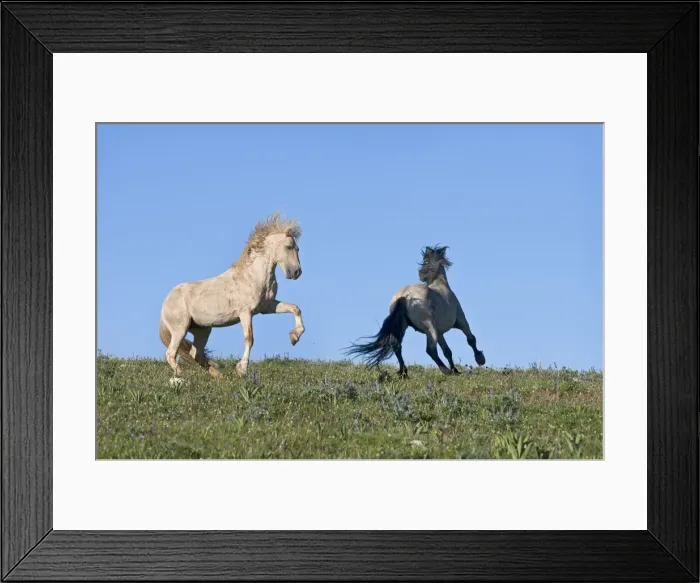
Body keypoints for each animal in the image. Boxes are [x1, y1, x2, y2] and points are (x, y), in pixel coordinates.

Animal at [159, 213, 304, 379]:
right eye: (288, 247)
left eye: (297, 248)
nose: (296, 272)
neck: (252, 276)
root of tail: (165, 303)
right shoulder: (245, 312)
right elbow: (249, 338)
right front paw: (242, 370)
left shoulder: (267, 307)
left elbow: (295, 308)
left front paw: (294, 337)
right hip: (180, 329)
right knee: (171, 353)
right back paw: (181, 374)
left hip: (202, 330)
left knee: (196, 354)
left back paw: (219, 376)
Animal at [345, 245, 485, 377]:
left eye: (425, 260)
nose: (421, 275)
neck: (440, 284)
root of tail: (404, 295)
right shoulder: (461, 321)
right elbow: (471, 339)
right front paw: (479, 359)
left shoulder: (440, 332)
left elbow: (447, 351)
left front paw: (456, 370)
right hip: (429, 328)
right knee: (430, 350)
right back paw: (445, 370)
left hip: (404, 326)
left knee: (397, 346)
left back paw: (404, 373)